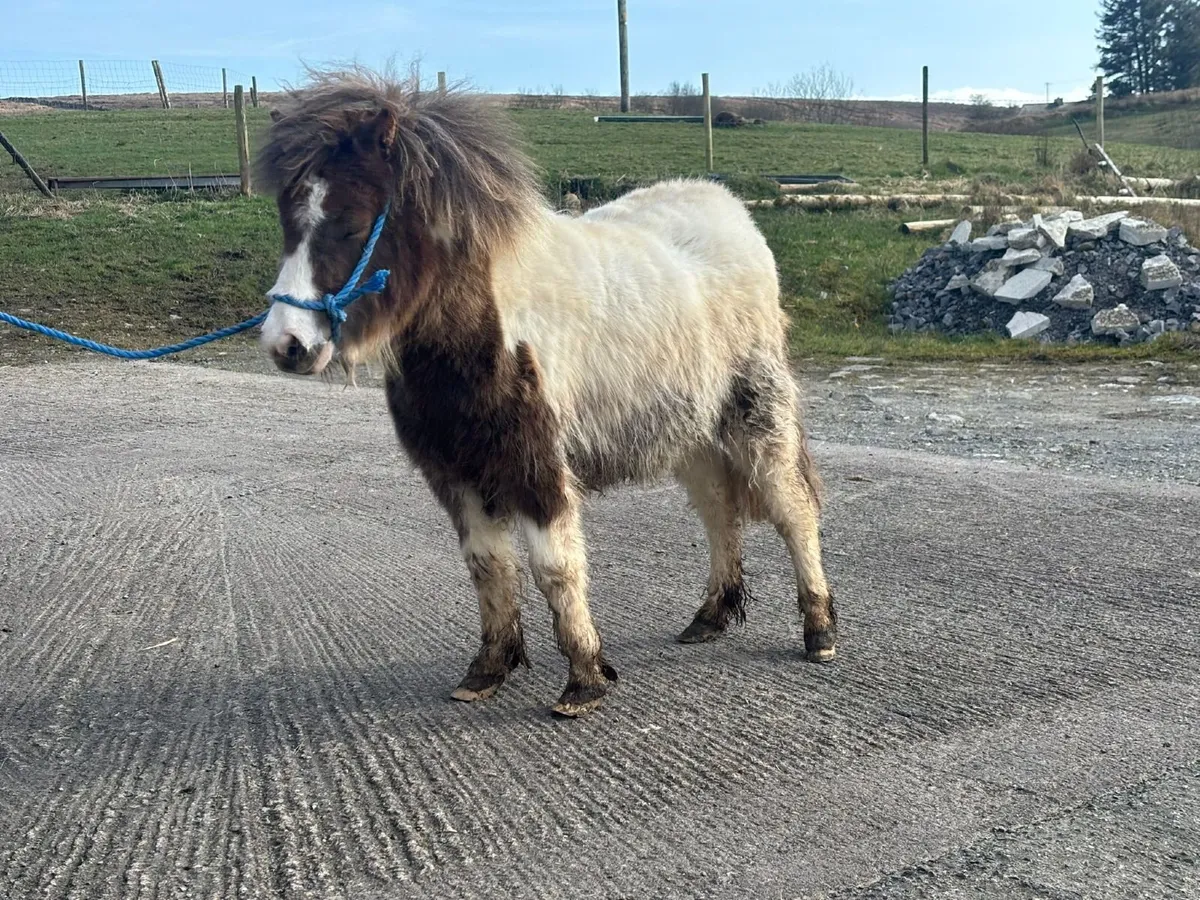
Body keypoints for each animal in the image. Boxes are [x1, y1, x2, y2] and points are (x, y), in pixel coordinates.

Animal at [256, 69, 838, 717]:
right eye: (286, 221)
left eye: (352, 223)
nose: (286, 344)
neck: (480, 329)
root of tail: (734, 213)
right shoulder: (455, 472)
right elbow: (488, 566)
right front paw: (487, 670)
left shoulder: (536, 463)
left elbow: (555, 566)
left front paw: (584, 680)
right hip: (692, 434)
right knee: (719, 511)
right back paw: (709, 617)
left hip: (756, 416)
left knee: (793, 509)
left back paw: (819, 632)